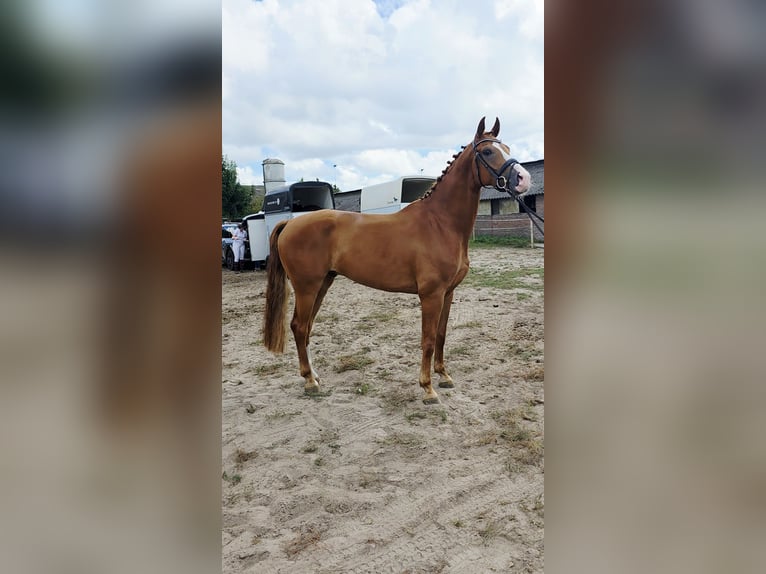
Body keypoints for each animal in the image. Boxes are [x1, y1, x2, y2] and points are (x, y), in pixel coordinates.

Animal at [262, 117, 531, 404]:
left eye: (507, 147)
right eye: (488, 151)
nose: (523, 179)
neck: (439, 223)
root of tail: (290, 223)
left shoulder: (447, 293)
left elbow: (441, 335)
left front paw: (444, 376)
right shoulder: (431, 295)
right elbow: (427, 339)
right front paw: (427, 388)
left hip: (322, 283)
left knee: (306, 328)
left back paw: (314, 376)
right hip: (307, 287)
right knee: (300, 327)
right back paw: (310, 382)